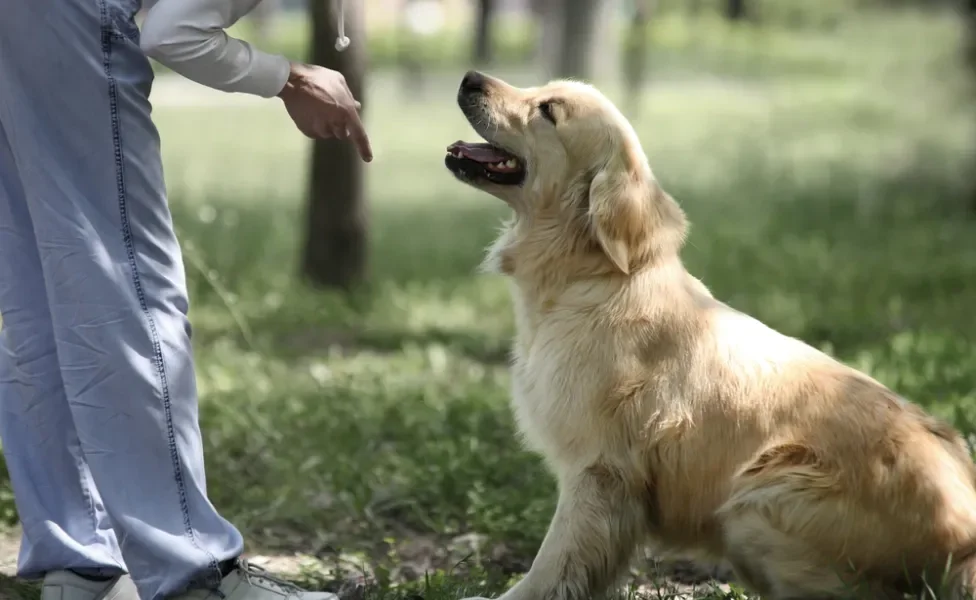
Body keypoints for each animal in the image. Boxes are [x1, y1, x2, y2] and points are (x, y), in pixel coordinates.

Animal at [446, 71, 976, 600]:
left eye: (548, 111)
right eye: (542, 89)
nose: (470, 78)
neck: (592, 276)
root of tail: (964, 541)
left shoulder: (599, 471)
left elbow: (554, 564)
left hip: (757, 500)